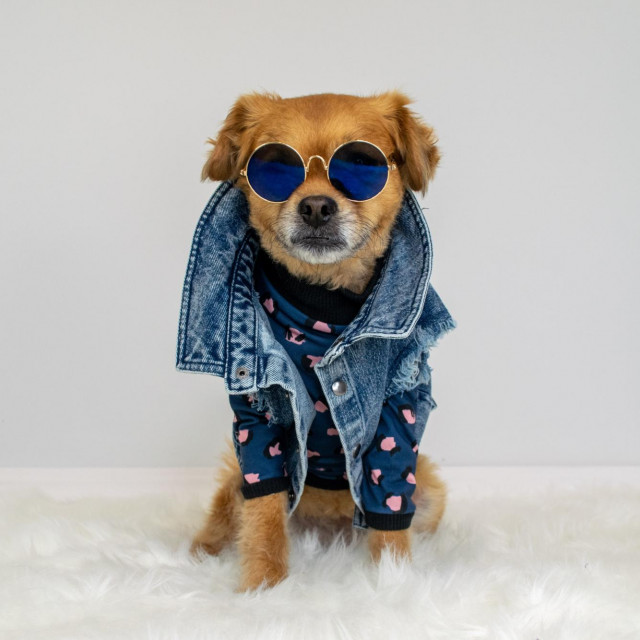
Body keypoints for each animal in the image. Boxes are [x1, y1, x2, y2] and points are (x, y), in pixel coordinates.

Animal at [186, 90, 450, 592]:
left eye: (362, 164)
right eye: (273, 167)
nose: (315, 206)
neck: (324, 301)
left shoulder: (401, 408)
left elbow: (391, 507)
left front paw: (393, 579)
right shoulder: (258, 416)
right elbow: (264, 514)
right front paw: (264, 585)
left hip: (428, 490)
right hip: (234, 485)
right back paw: (199, 554)